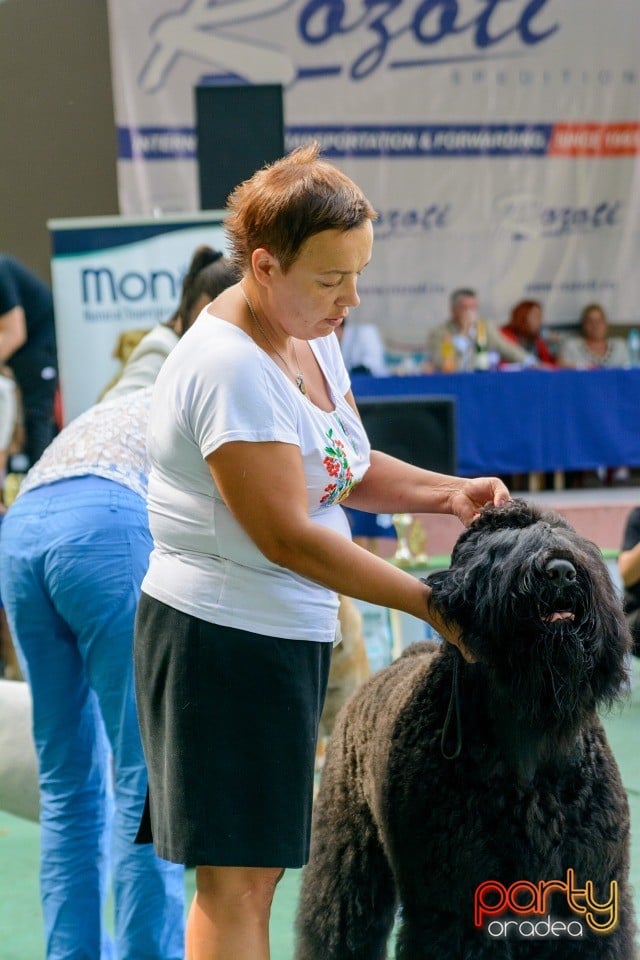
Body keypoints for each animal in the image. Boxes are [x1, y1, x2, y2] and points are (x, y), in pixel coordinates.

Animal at [296, 498, 636, 956]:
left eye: (564, 530)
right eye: (498, 540)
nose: (562, 571)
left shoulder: (591, 894)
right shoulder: (457, 911)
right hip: (347, 854)